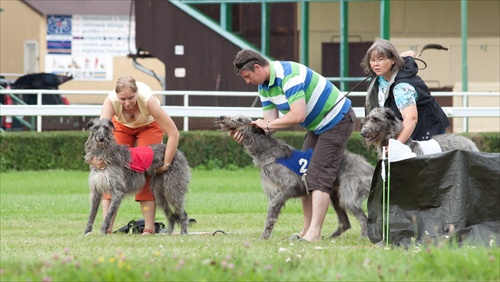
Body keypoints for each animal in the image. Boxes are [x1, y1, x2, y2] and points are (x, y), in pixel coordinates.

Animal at [213, 115, 374, 239]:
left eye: (240, 119)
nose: (221, 117)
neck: (267, 151)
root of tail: (369, 168)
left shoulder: (292, 186)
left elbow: (272, 205)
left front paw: (263, 236)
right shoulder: (274, 191)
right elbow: (272, 215)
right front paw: (266, 235)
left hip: (349, 193)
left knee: (363, 218)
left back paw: (363, 237)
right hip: (335, 195)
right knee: (345, 223)